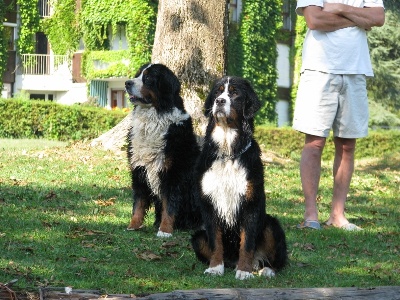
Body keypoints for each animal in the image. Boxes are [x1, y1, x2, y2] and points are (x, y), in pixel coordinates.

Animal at [124, 63, 200, 237]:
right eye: (138, 75)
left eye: (148, 78)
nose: (127, 83)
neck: (152, 121)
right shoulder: (139, 170)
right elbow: (138, 203)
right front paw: (133, 225)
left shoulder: (173, 173)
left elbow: (169, 205)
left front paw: (164, 230)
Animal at [191, 76, 288, 280]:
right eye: (218, 92)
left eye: (235, 93)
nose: (219, 101)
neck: (228, 151)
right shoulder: (209, 204)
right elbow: (216, 242)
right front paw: (215, 268)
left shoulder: (250, 204)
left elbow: (247, 243)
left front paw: (244, 271)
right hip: (198, 237)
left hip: (271, 225)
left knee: (275, 260)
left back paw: (266, 270)